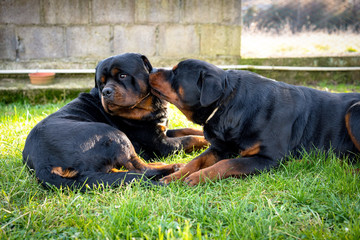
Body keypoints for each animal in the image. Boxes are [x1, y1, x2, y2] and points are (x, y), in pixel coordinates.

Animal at [23, 53, 208, 190]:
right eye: (101, 82)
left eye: (123, 75)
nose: (106, 91)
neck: (147, 106)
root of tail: (42, 164)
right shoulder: (161, 144)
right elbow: (190, 138)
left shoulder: (162, 129)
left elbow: (188, 130)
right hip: (110, 134)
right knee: (140, 168)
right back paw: (173, 166)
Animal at [149, 58, 360, 186]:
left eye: (176, 73)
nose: (151, 69)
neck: (228, 105)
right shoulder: (220, 147)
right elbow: (195, 161)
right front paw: (173, 176)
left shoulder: (269, 158)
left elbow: (228, 164)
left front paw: (197, 178)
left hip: (354, 111)